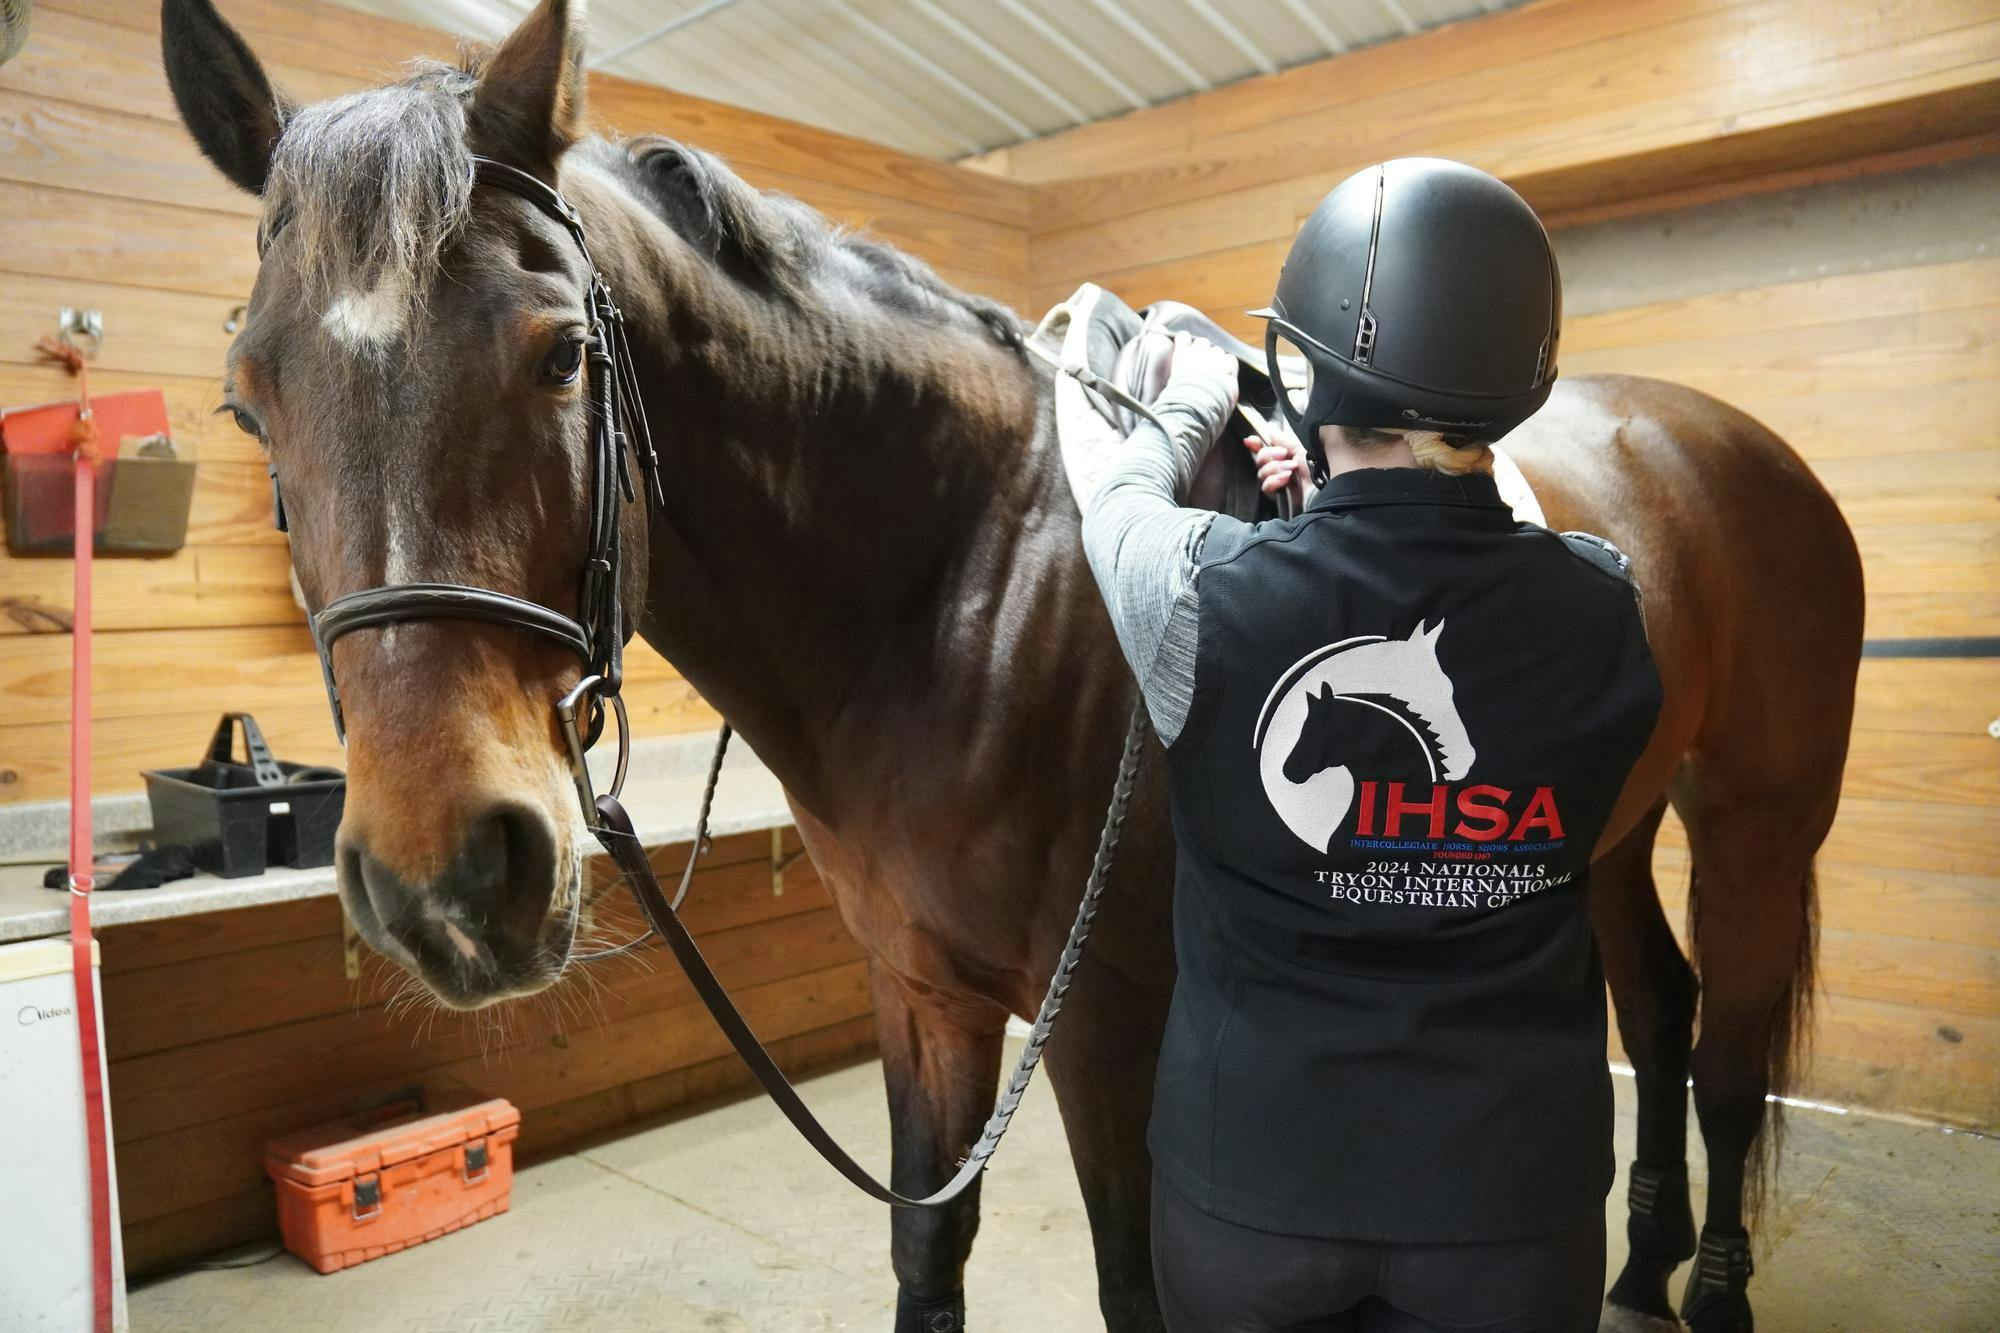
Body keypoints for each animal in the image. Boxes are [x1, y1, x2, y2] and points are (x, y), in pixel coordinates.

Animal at [162, 2, 1864, 1329]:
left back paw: (1714, 1287)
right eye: (249, 397)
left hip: (1755, 825)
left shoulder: (1110, 1015)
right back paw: (1639, 1271)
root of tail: (1726, 442)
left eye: (560, 353)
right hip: (1611, 838)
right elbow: (931, 1250)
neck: (964, 585)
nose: (452, 880)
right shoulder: (922, 995)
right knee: (1659, 1014)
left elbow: (1138, 1284)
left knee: (1724, 1054)